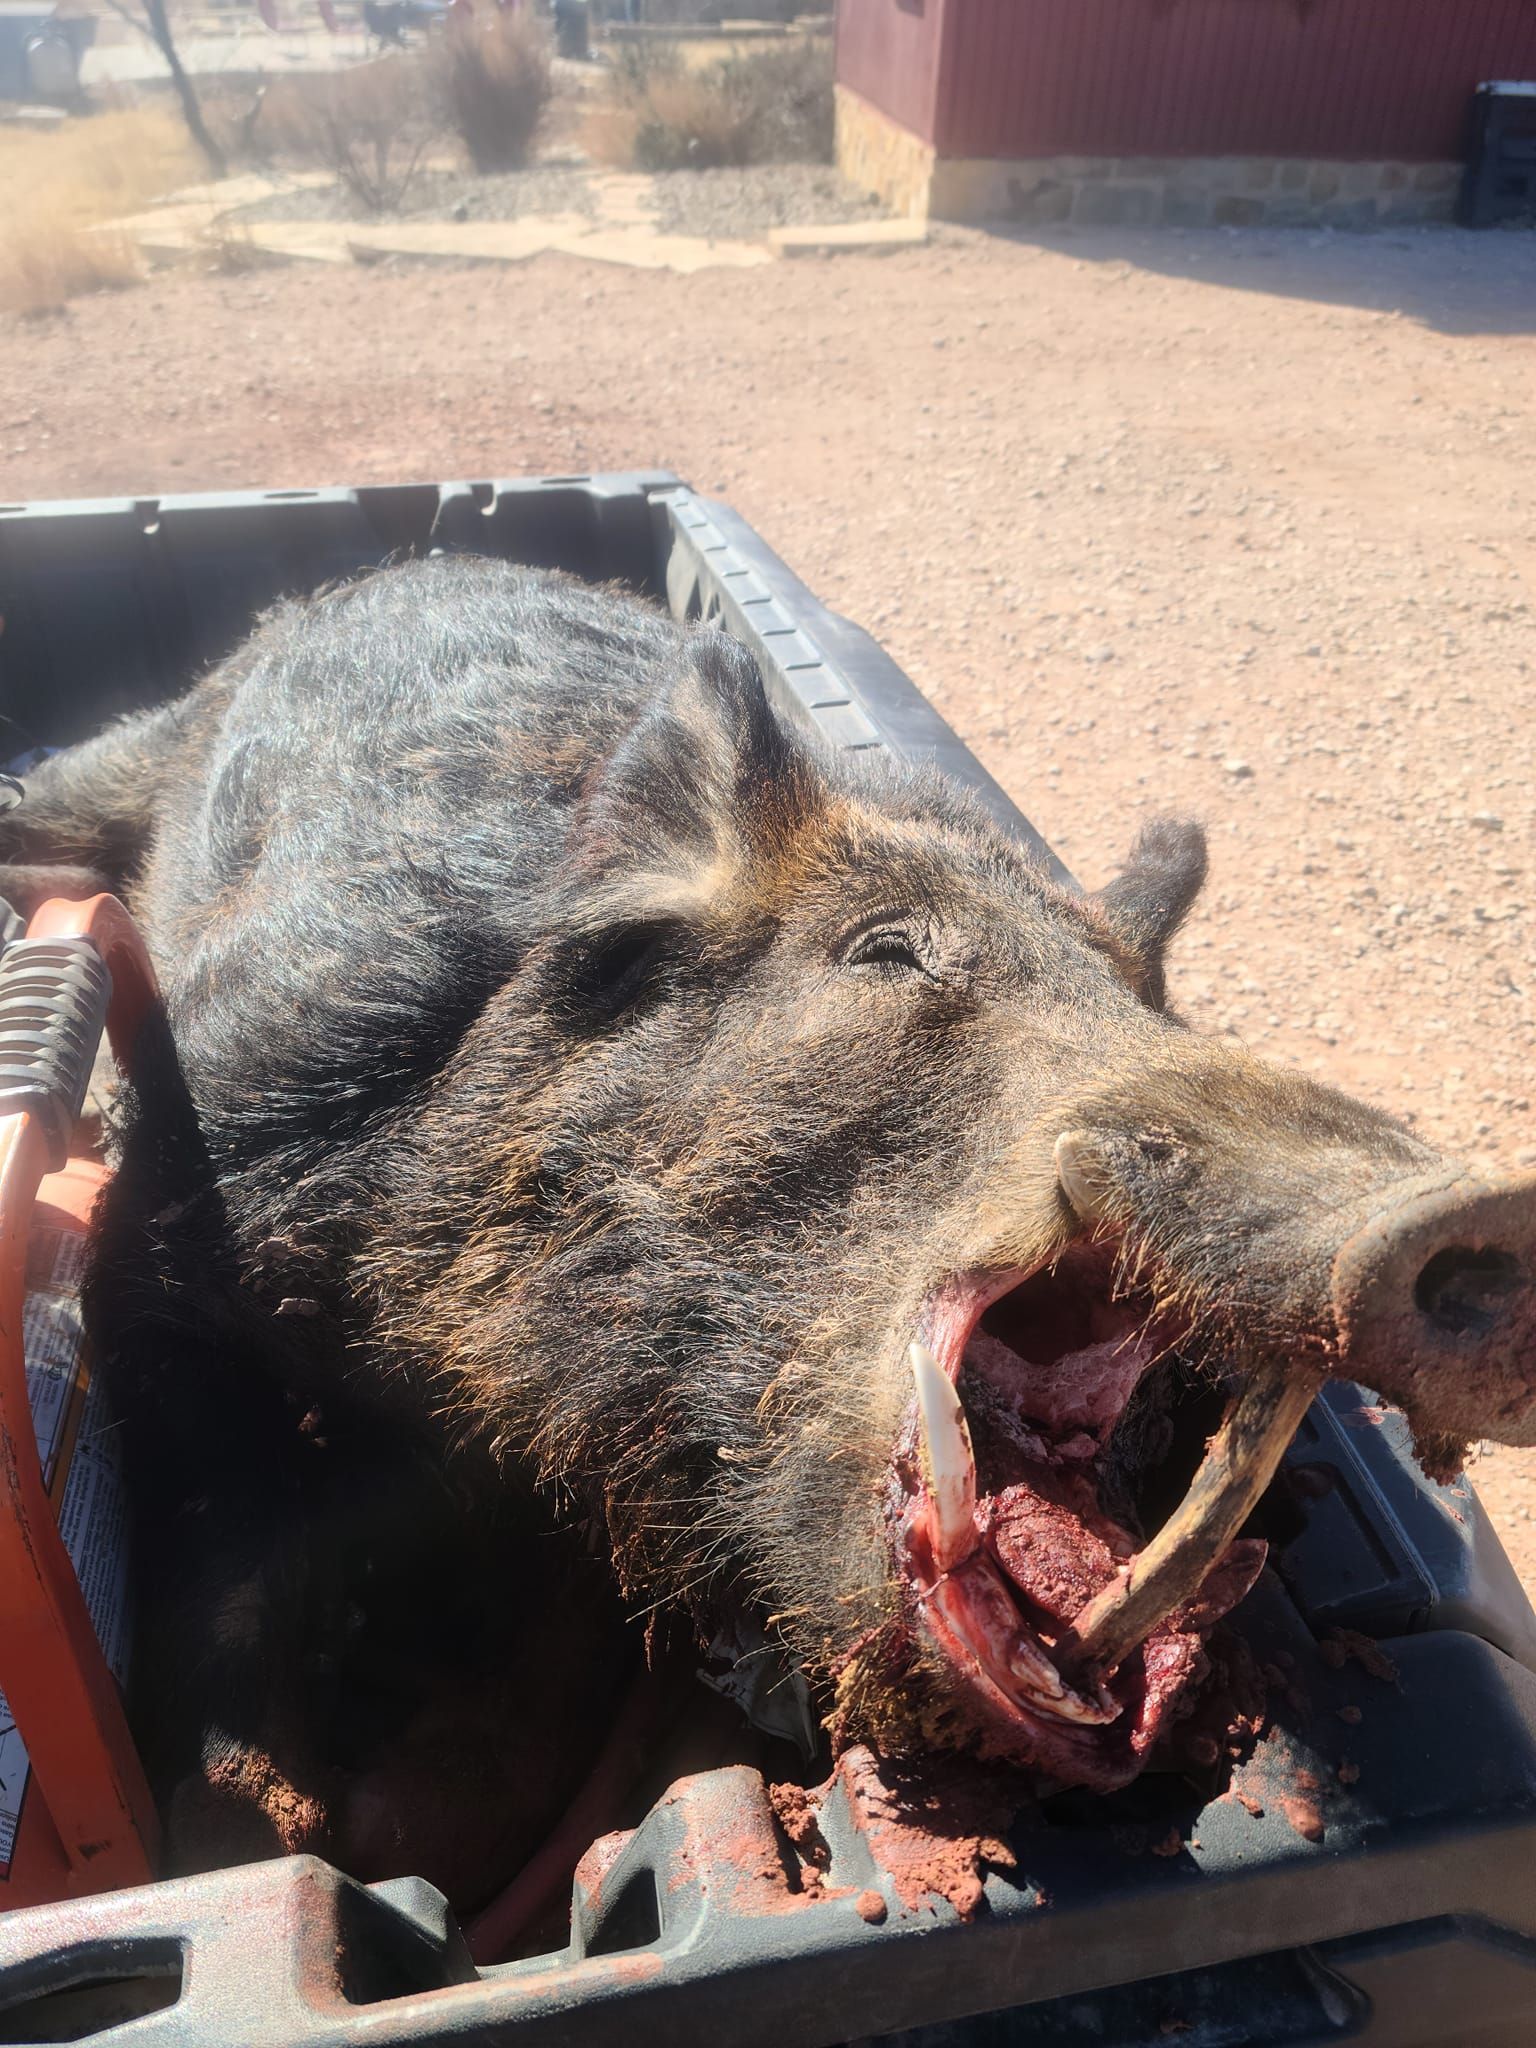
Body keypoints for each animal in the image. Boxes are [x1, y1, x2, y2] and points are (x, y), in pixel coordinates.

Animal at [4, 555, 1535, 1901]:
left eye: (1146, 1004)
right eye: (889, 949)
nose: (1481, 1208)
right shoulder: (184, 1199)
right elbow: (221, 1546)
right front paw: (273, 1838)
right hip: (118, 774)